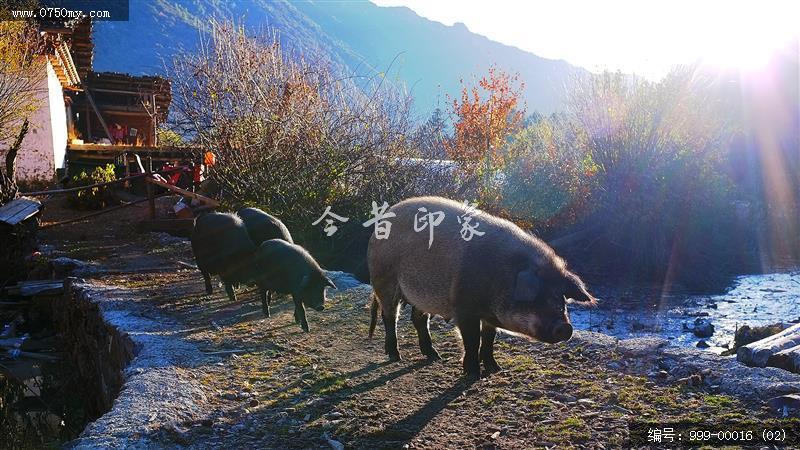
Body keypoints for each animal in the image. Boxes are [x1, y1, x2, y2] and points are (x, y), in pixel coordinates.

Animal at [368, 196, 592, 376]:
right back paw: (395, 356)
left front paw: (495, 369)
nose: (565, 327)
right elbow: (472, 340)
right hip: (384, 280)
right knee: (390, 317)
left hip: (421, 295)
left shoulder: (488, 317)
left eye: (560, 301)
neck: (499, 276)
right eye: (539, 298)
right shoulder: (465, 309)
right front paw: (473, 373)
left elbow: (489, 339)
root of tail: (378, 227)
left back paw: (434, 356)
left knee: (418, 318)